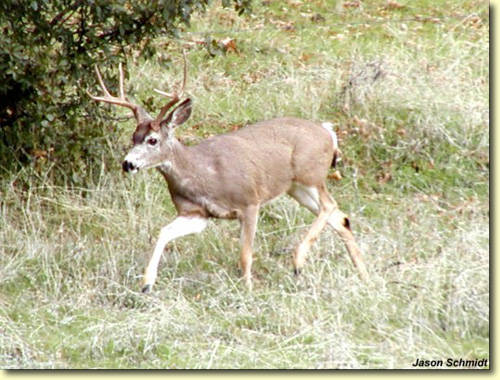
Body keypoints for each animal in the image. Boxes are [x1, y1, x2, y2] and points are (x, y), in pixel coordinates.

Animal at [88, 55, 368, 292]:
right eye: (133, 137)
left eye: (153, 140)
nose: (127, 164)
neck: (204, 173)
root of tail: (328, 132)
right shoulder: (197, 214)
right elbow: (164, 232)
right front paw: (147, 283)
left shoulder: (250, 201)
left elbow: (245, 254)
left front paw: (248, 290)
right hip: (297, 187)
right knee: (341, 217)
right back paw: (363, 273)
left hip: (310, 174)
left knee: (329, 206)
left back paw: (298, 261)